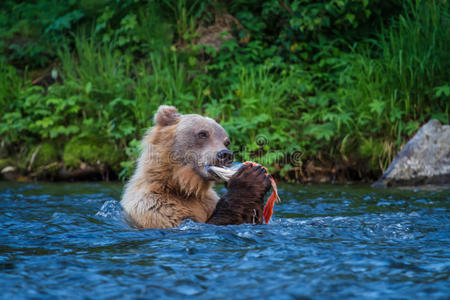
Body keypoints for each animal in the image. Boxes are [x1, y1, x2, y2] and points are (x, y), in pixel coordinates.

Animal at [119, 105, 272, 227]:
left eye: (226, 141)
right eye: (203, 133)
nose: (226, 154)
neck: (181, 187)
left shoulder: (207, 202)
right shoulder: (156, 209)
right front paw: (251, 178)